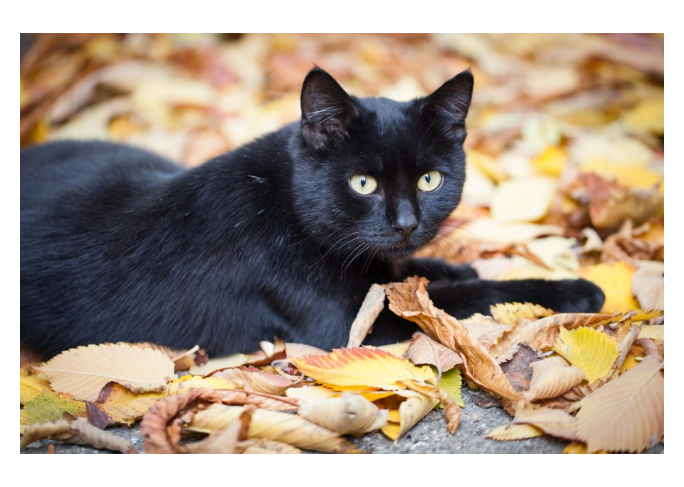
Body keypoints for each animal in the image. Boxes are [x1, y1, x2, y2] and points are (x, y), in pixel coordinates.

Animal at [18, 68, 604, 356]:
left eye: (430, 180)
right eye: (363, 183)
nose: (407, 223)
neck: (284, 204)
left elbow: (410, 273)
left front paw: (449, 264)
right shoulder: (349, 322)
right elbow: (468, 298)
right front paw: (571, 290)